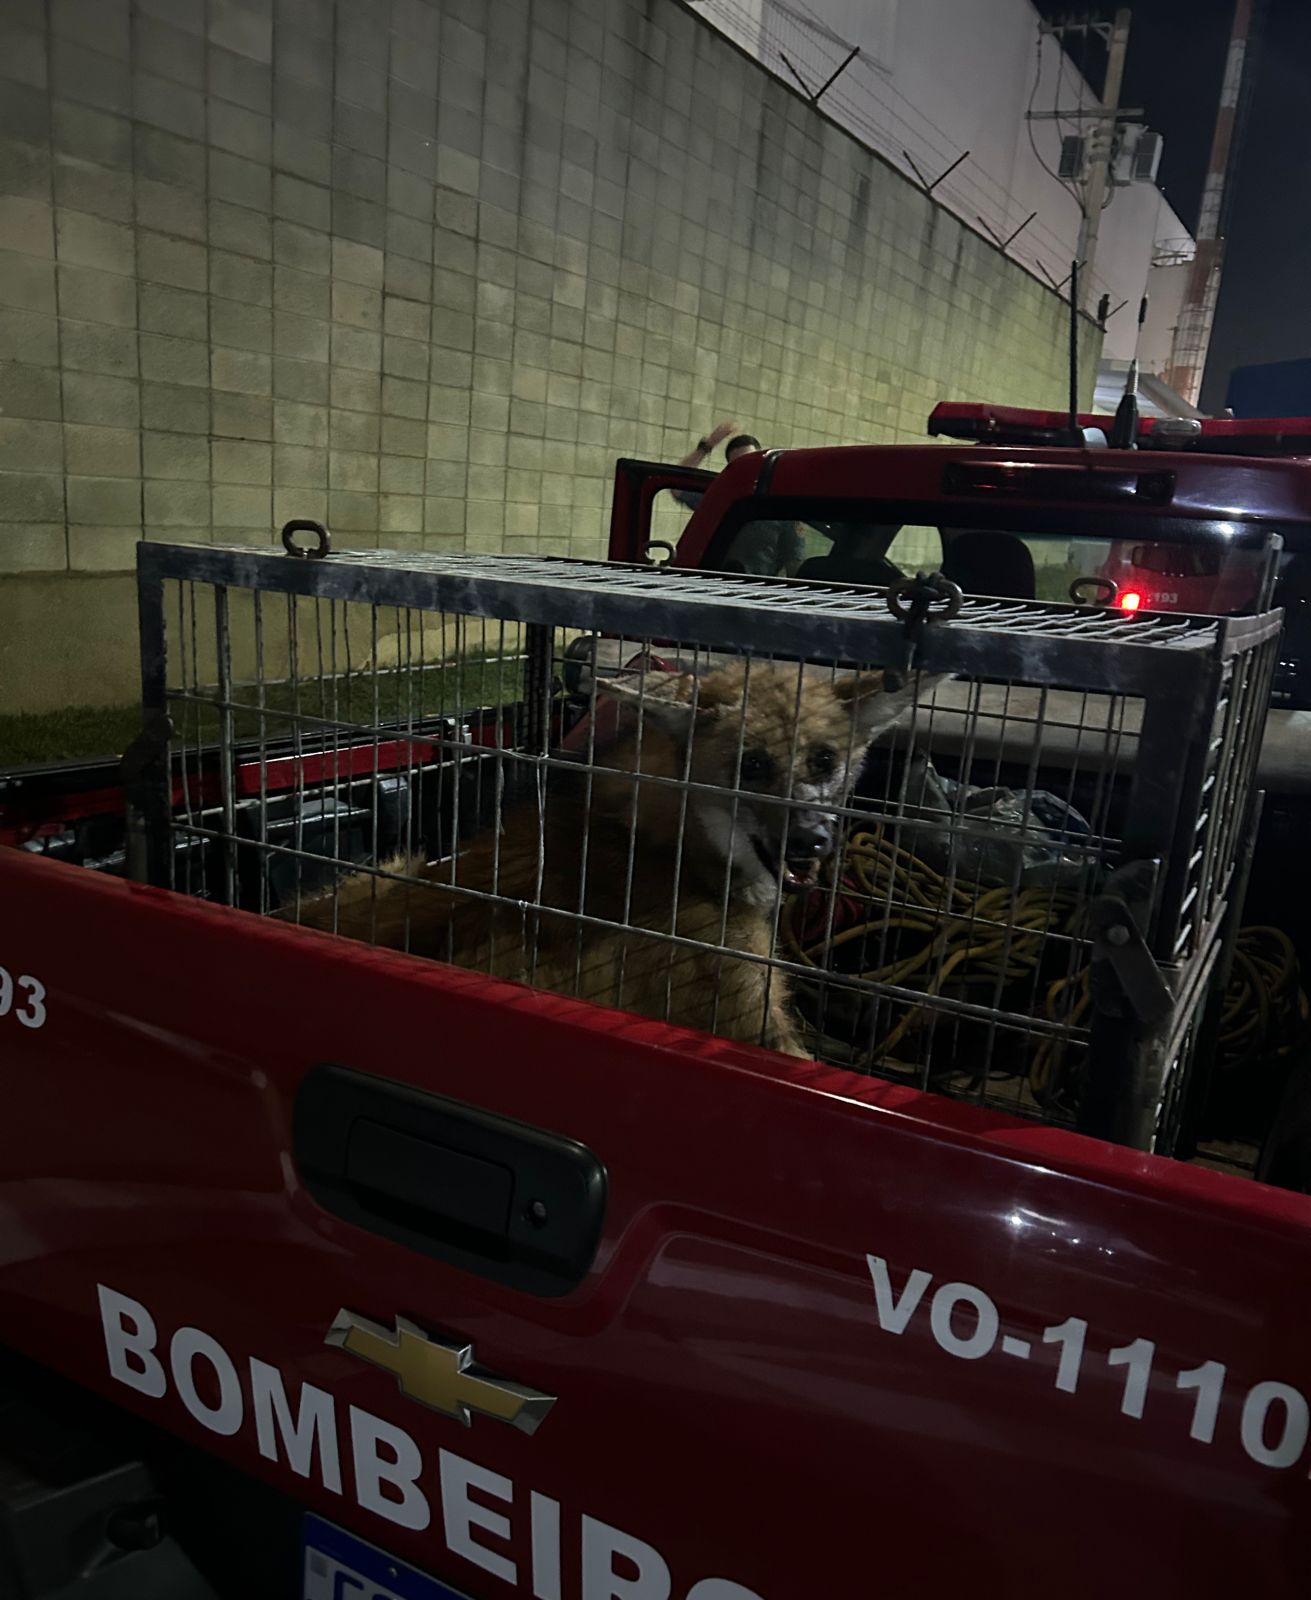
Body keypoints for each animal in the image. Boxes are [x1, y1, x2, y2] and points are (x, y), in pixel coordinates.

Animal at [292, 656, 941, 1056]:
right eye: (753, 765)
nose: (812, 840)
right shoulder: (746, 1011)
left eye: (824, 759)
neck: (670, 843)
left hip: (396, 867)